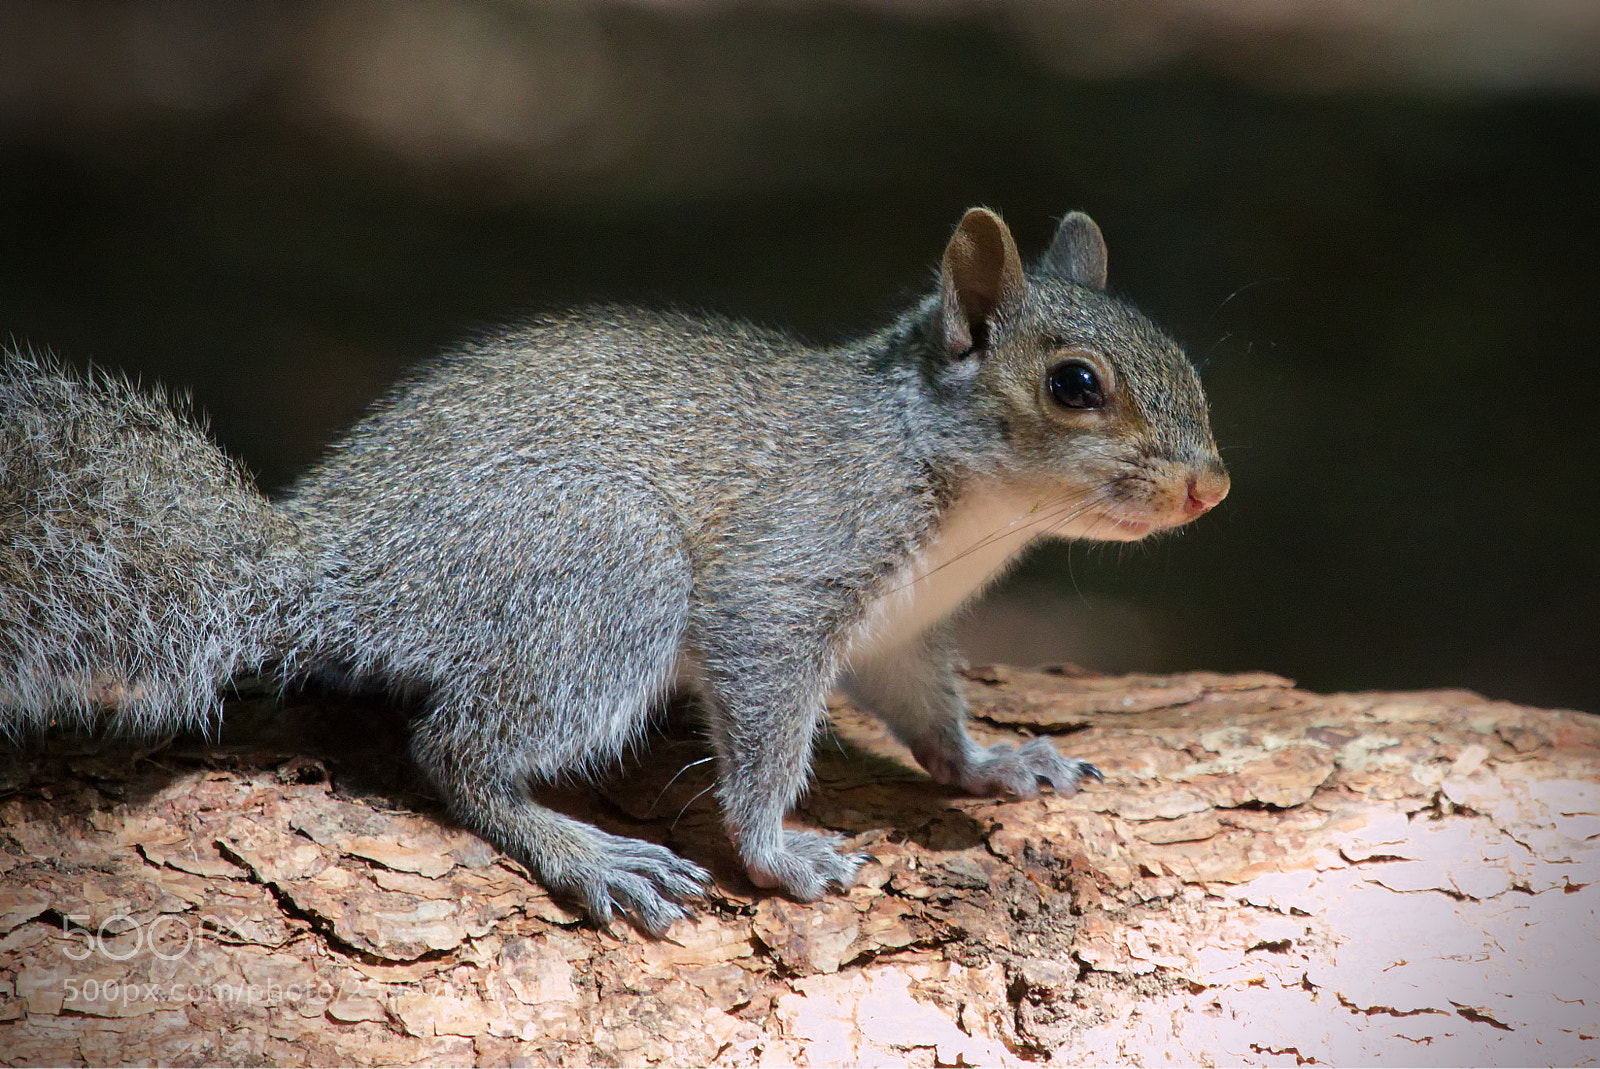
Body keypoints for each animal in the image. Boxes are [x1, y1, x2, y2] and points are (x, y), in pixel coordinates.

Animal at [1, 207, 1227, 934]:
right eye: (1074, 384)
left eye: (1181, 354)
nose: (1211, 489)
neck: (972, 506)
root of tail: (333, 563)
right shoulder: (786, 575)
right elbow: (763, 716)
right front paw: (775, 852)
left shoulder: (902, 628)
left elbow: (931, 718)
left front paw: (997, 764)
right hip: (607, 570)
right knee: (458, 752)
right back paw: (588, 854)